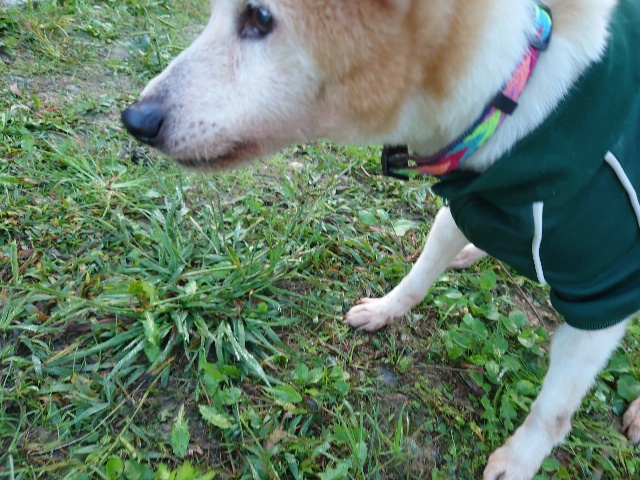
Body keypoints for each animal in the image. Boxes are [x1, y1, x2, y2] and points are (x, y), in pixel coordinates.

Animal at [121, 0, 640, 478]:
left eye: (261, 17)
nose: (135, 119)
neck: (515, 102)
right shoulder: (460, 208)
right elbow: (416, 279)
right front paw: (385, 311)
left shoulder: (604, 298)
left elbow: (552, 411)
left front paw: (517, 462)